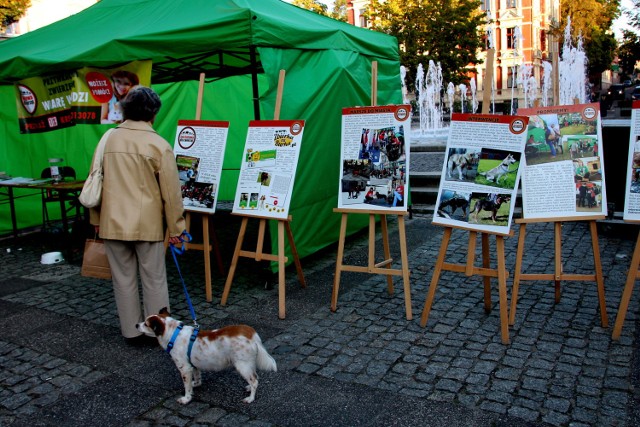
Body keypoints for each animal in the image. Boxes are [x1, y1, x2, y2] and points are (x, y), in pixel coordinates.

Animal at [135, 310, 276, 406]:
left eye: (146, 324)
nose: (136, 325)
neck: (174, 334)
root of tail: (251, 333)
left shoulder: (184, 368)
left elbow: (186, 387)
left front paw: (186, 399)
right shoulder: (193, 365)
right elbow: (197, 378)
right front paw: (195, 384)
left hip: (242, 365)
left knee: (254, 381)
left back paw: (251, 398)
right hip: (248, 363)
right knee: (255, 376)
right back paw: (248, 387)